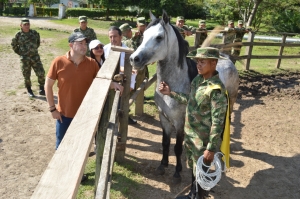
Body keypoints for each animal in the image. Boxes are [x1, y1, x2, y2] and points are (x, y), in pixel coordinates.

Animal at [129, 11, 239, 184]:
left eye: (159, 37)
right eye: (144, 35)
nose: (134, 59)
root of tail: (228, 60)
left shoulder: (179, 122)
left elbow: (177, 147)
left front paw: (177, 172)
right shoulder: (164, 118)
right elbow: (165, 143)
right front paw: (162, 165)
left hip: (231, 102)